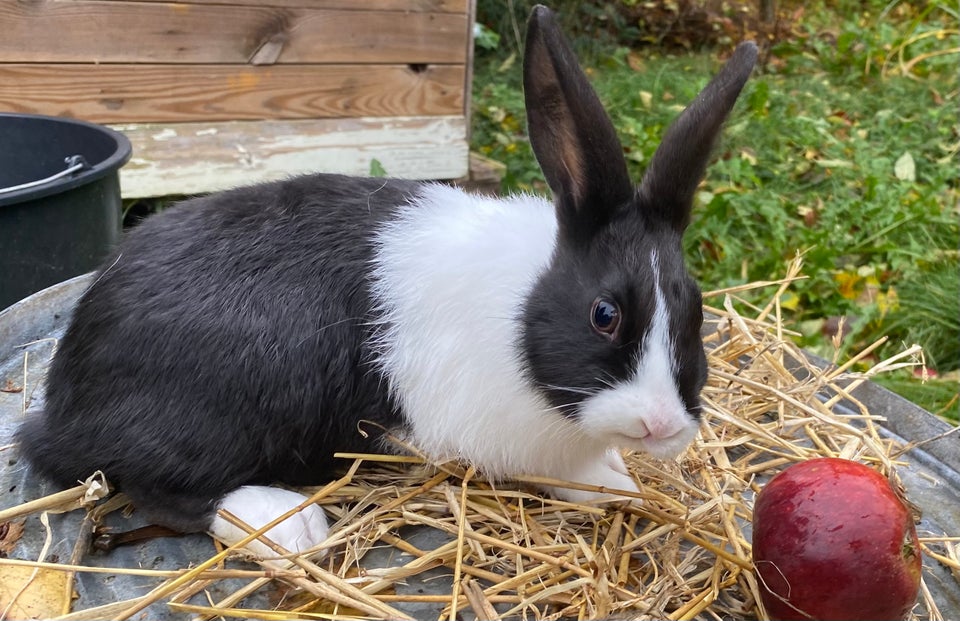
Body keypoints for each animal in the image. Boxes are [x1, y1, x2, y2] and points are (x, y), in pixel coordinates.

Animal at [11, 3, 752, 556]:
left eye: (697, 309)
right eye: (605, 313)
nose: (662, 424)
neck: (521, 309)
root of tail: (61, 410)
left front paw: (618, 479)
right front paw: (608, 480)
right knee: (157, 485)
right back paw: (286, 522)